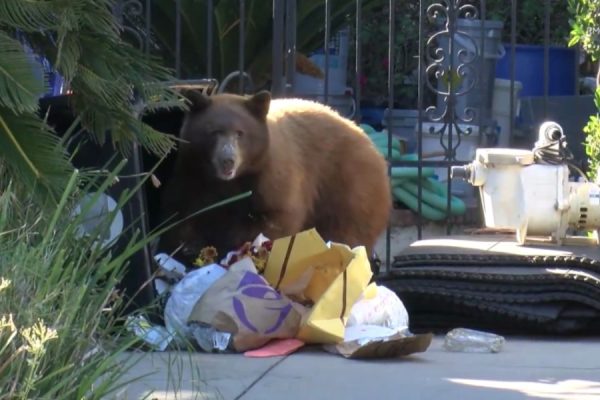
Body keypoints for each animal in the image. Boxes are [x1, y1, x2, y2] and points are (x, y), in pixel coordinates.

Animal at [158, 90, 394, 268]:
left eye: (240, 133)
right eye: (214, 132)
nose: (228, 161)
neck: (230, 183)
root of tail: (373, 147)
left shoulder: (272, 178)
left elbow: (276, 218)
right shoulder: (192, 175)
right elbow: (180, 215)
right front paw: (188, 248)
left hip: (348, 188)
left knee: (347, 230)